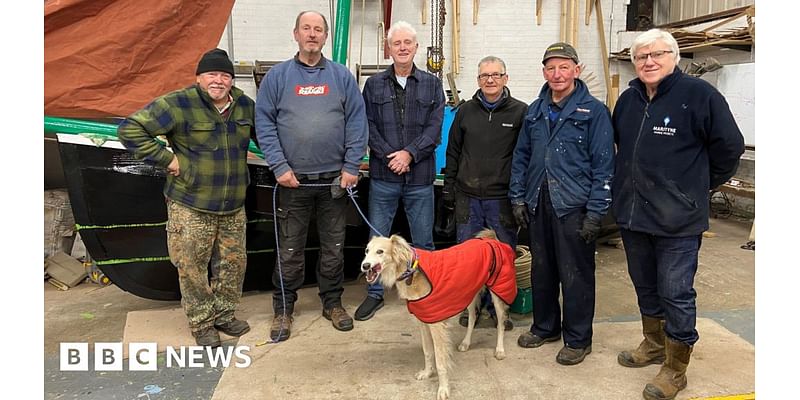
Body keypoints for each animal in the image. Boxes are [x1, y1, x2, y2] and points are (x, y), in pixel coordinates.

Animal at [358, 230, 520, 398]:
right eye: (366, 251)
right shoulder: (423, 321)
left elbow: (440, 361)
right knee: (473, 317)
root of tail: (490, 238)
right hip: (469, 293)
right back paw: (466, 342)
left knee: (501, 323)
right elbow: (428, 352)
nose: (365, 266)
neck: (410, 273)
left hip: (498, 293)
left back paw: (499, 350)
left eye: (380, 251)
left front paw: (443, 389)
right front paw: (427, 372)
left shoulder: (436, 325)